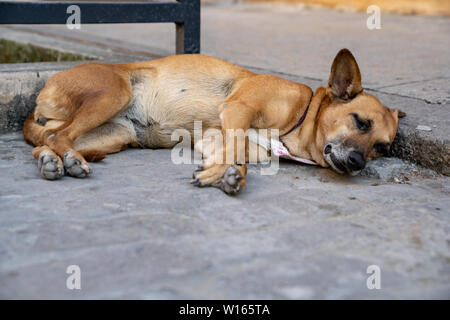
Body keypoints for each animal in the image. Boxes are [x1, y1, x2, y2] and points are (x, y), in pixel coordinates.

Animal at [22, 48, 402, 194]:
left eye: (382, 148)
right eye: (361, 122)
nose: (358, 163)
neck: (301, 113)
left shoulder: (213, 139)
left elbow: (233, 154)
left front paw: (224, 174)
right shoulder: (238, 109)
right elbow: (235, 151)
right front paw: (224, 176)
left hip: (115, 134)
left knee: (47, 141)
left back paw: (53, 162)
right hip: (113, 93)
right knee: (58, 137)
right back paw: (67, 161)